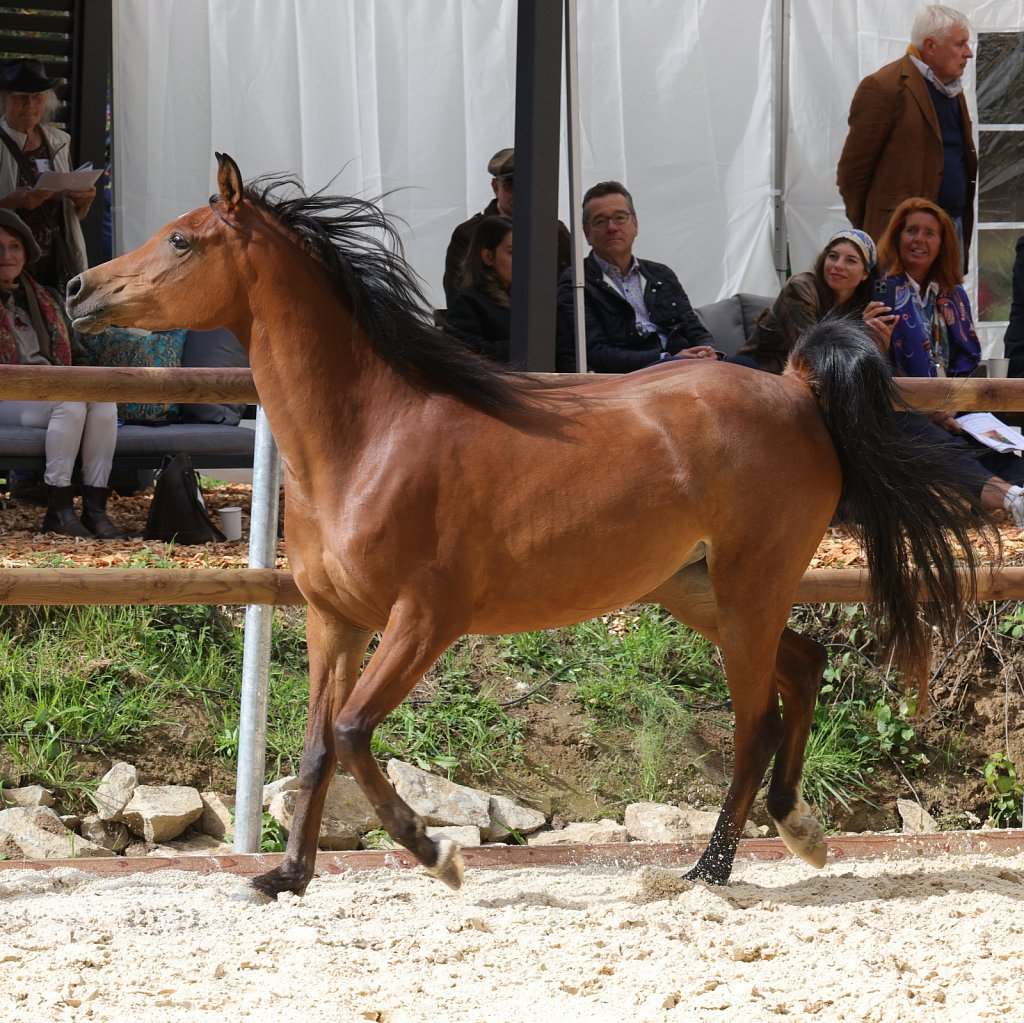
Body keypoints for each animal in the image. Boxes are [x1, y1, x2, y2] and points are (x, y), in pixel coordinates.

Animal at [66, 153, 990, 900]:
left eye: (182, 241)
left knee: (756, 718)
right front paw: (285, 876)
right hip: (696, 588)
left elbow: (355, 731)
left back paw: (709, 868)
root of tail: (797, 384)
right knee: (805, 667)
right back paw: (799, 831)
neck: (368, 437)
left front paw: (437, 854)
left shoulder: (425, 619)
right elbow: (316, 747)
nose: (79, 289)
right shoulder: (336, 619)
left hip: (747, 587)